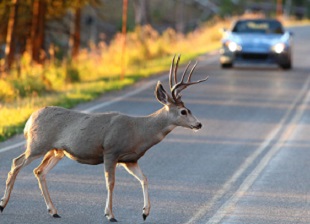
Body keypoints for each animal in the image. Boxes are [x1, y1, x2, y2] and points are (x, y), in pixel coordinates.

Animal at [1, 54, 208, 222]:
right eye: (183, 111)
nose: (198, 124)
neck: (139, 131)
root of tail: (29, 120)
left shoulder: (130, 159)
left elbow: (144, 179)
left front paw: (145, 212)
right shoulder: (110, 151)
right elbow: (111, 183)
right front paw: (110, 214)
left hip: (56, 150)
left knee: (39, 171)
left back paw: (53, 211)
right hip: (38, 143)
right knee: (16, 163)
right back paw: (3, 204)